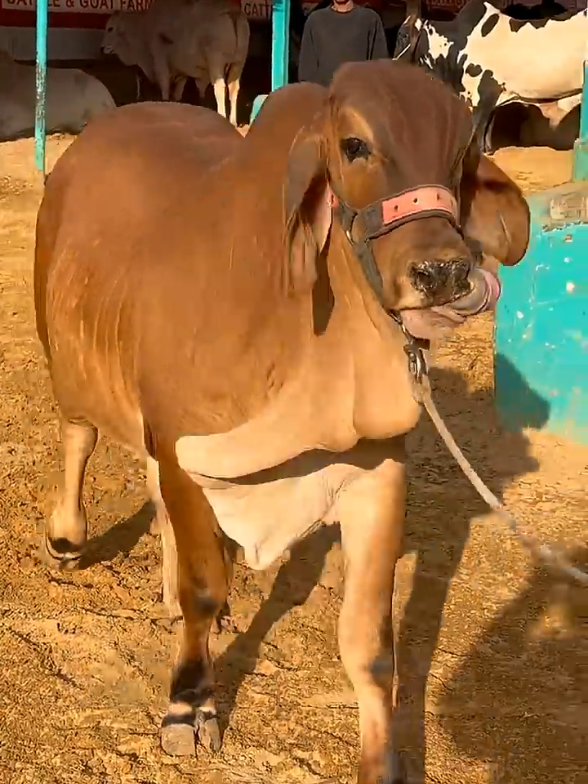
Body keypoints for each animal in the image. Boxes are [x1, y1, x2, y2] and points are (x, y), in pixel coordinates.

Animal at [34, 61, 529, 783]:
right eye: (354, 145)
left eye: (463, 149)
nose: (443, 272)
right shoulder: (183, 446)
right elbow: (204, 586)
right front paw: (188, 706)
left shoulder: (379, 475)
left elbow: (370, 643)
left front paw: (381, 760)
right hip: (71, 361)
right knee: (80, 435)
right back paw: (69, 538)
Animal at [101, 0, 250, 125]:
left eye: (110, 28)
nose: (102, 47)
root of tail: (232, 11)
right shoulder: (182, 71)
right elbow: (178, 94)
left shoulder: (160, 61)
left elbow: (165, 86)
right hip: (238, 63)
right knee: (233, 88)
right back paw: (233, 122)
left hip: (216, 61)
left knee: (220, 88)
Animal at [393, 0, 586, 152]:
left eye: (402, 35)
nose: (392, 63)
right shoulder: (493, 100)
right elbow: (486, 135)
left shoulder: (480, 98)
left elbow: (476, 134)